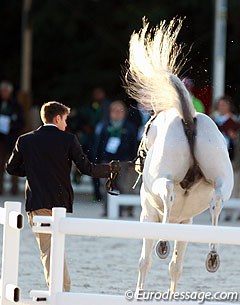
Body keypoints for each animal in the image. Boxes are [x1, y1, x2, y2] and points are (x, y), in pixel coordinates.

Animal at [124, 18, 233, 292]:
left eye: (145, 132)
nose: (139, 160)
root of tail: (188, 118)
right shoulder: (186, 225)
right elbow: (176, 267)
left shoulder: (148, 216)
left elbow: (144, 262)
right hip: (223, 182)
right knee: (217, 201)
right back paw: (212, 256)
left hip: (162, 183)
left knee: (169, 192)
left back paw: (163, 243)